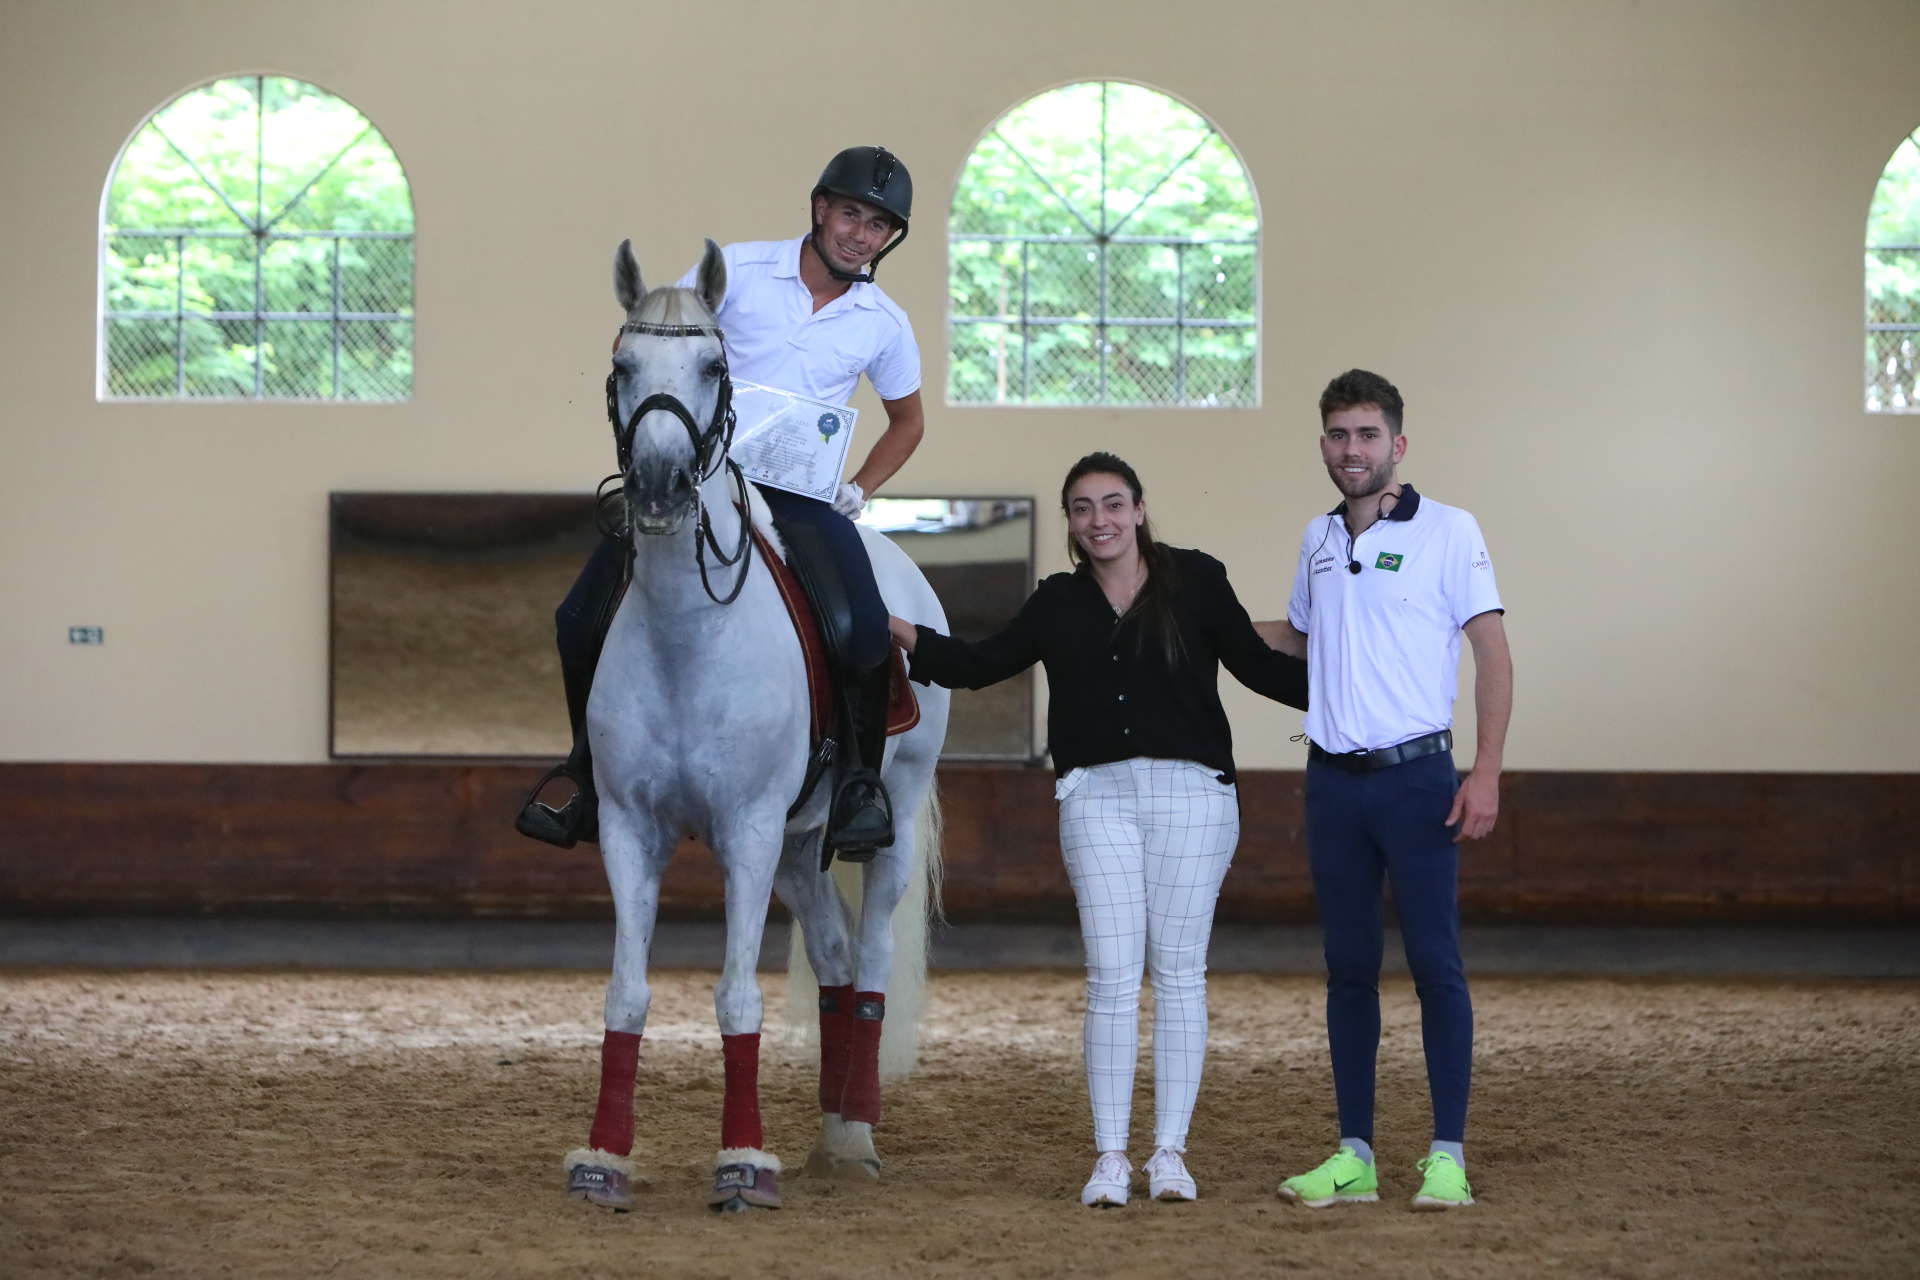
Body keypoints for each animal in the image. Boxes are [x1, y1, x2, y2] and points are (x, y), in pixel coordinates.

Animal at [560, 238, 952, 1214]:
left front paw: (742, 1162)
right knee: (837, 958)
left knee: (873, 960)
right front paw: (602, 1159)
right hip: (796, 847)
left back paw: (858, 1129)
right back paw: (832, 1126)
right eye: (622, 367)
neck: (687, 633)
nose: (659, 487)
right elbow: (626, 997)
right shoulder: (631, 828)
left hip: (883, 813)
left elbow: (738, 1000)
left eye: (713, 366)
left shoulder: (743, 830)